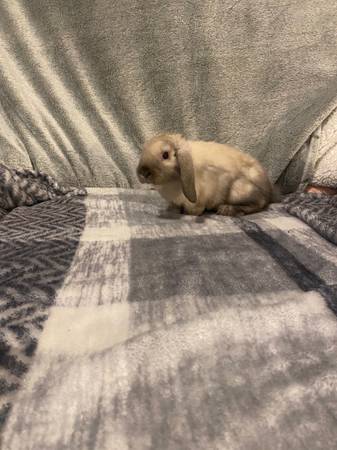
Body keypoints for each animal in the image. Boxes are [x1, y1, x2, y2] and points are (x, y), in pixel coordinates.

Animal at [135, 132, 276, 216]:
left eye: (165, 155)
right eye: (144, 151)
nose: (143, 172)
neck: (171, 181)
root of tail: (269, 191)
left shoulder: (199, 198)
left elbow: (195, 209)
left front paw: (188, 213)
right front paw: (171, 210)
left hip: (238, 190)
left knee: (259, 203)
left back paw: (226, 209)